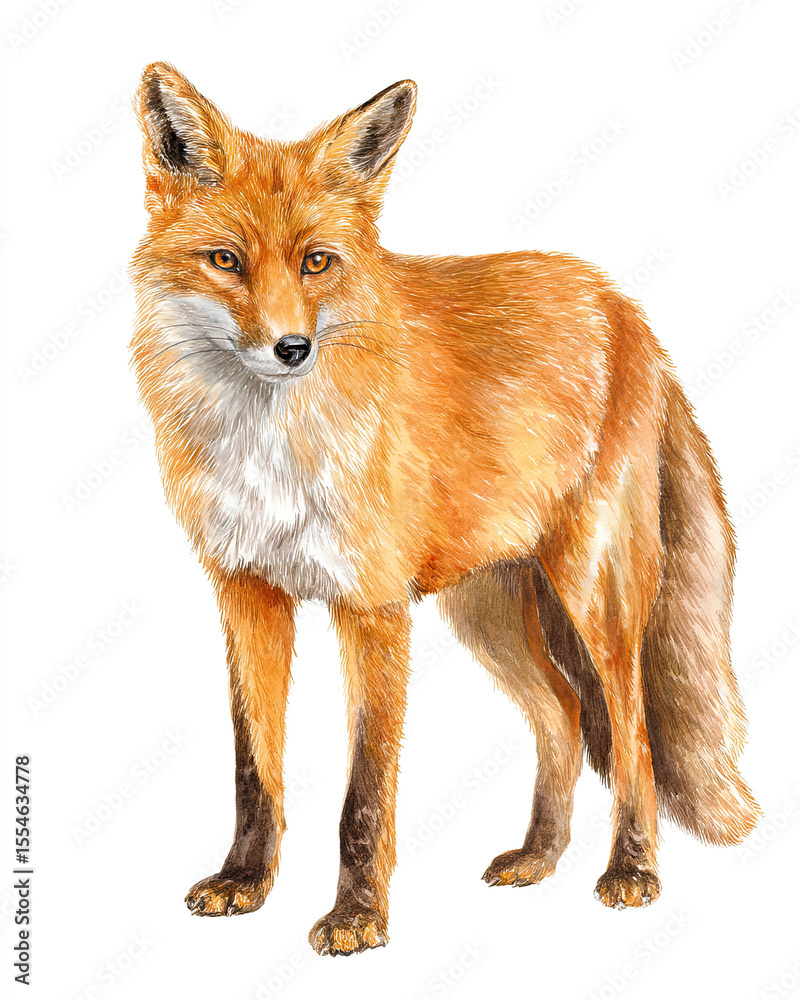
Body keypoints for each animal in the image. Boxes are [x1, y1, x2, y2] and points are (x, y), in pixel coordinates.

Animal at [129, 63, 759, 957]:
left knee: (630, 729)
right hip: (486, 609)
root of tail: (622, 306)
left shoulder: (373, 608)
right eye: (225, 261)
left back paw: (631, 868)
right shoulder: (247, 592)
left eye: (316, 263)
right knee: (565, 715)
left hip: (592, 591)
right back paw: (538, 857)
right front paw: (246, 882)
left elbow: (364, 794)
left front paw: (358, 918)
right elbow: (256, 768)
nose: (293, 348)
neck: (271, 451)